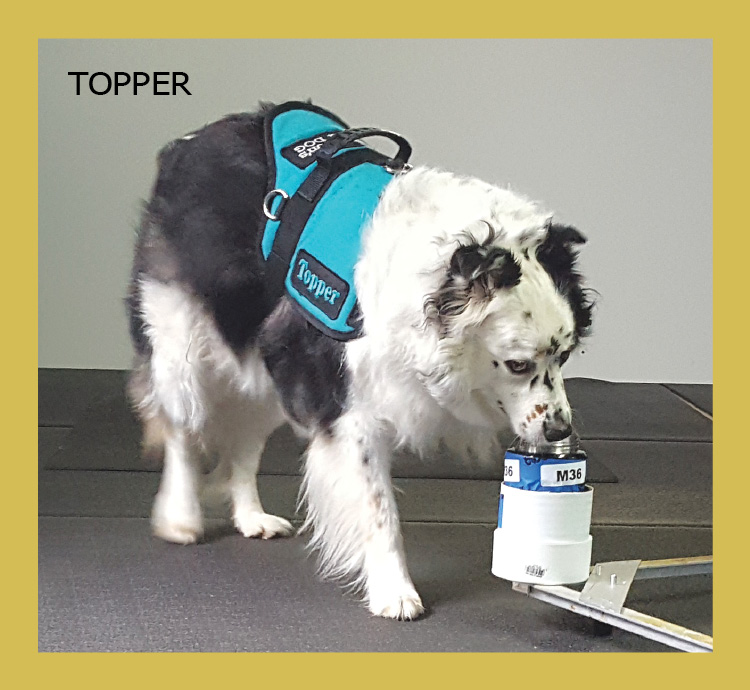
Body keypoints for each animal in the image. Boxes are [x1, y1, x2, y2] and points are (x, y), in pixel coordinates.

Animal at [126, 101, 596, 620]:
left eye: (566, 355)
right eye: (517, 365)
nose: (560, 432)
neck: (433, 280)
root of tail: (190, 142)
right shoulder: (348, 407)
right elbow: (378, 508)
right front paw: (395, 590)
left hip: (273, 363)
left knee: (244, 440)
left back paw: (251, 517)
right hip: (181, 344)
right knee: (183, 429)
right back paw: (181, 518)